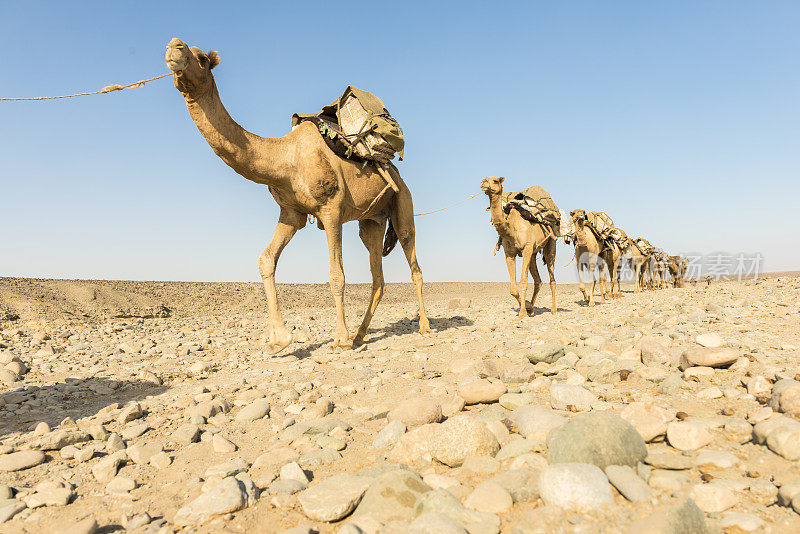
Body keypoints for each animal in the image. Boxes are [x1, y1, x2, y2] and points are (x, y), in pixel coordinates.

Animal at [164, 38, 432, 356]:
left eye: (202, 58)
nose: (174, 46)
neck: (285, 159)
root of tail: (396, 170)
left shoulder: (331, 210)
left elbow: (337, 275)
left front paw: (339, 339)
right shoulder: (291, 213)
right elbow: (265, 260)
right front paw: (279, 339)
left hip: (403, 203)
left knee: (413, 260)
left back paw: (422, 327)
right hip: (372, 222)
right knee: (377, 276)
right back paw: (360, 335)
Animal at [482, 178, 556, 316]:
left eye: (495, 180)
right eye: (484, 179)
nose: (483, 183)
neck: (511, 228)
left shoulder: (526, 249)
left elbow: (523, 282)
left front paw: (522, 312)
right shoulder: (510, 254)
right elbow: (512, 288)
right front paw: (525, 306)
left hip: (550, 243)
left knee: (551, 274)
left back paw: (553, 309)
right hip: (533, 254)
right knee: (538, 280)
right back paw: (531, 309)